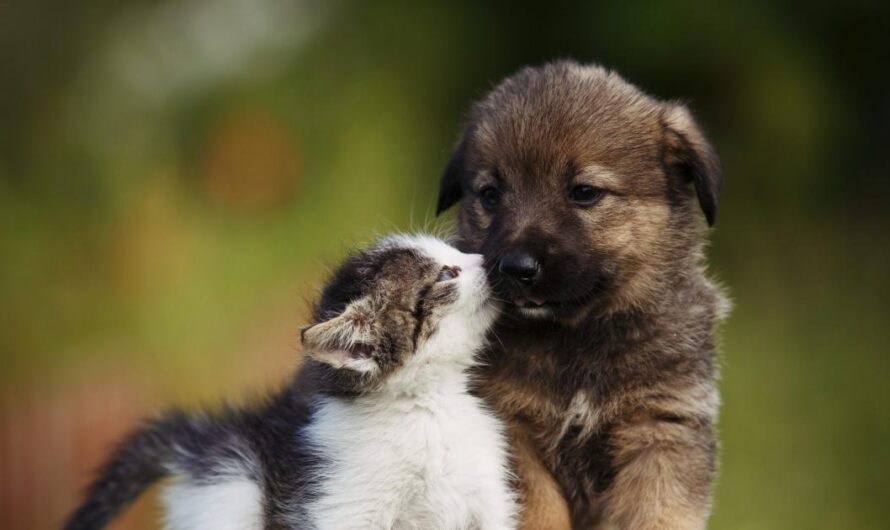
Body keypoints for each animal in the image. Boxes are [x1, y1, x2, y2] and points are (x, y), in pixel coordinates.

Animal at [62, 234, 516, 528]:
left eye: (456, 250)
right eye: (446, 274)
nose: (491, 258)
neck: (427, 409)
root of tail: (210, 438)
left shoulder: (488, 495)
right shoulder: (342, 504)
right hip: (231, 495)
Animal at [438, 59, 728, 524]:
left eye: (585, 192)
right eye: (490, 194)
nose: (516, 267)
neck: (577, 338)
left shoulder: (662, 428)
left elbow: (657, 514)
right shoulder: (511, 430)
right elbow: (538, 513)